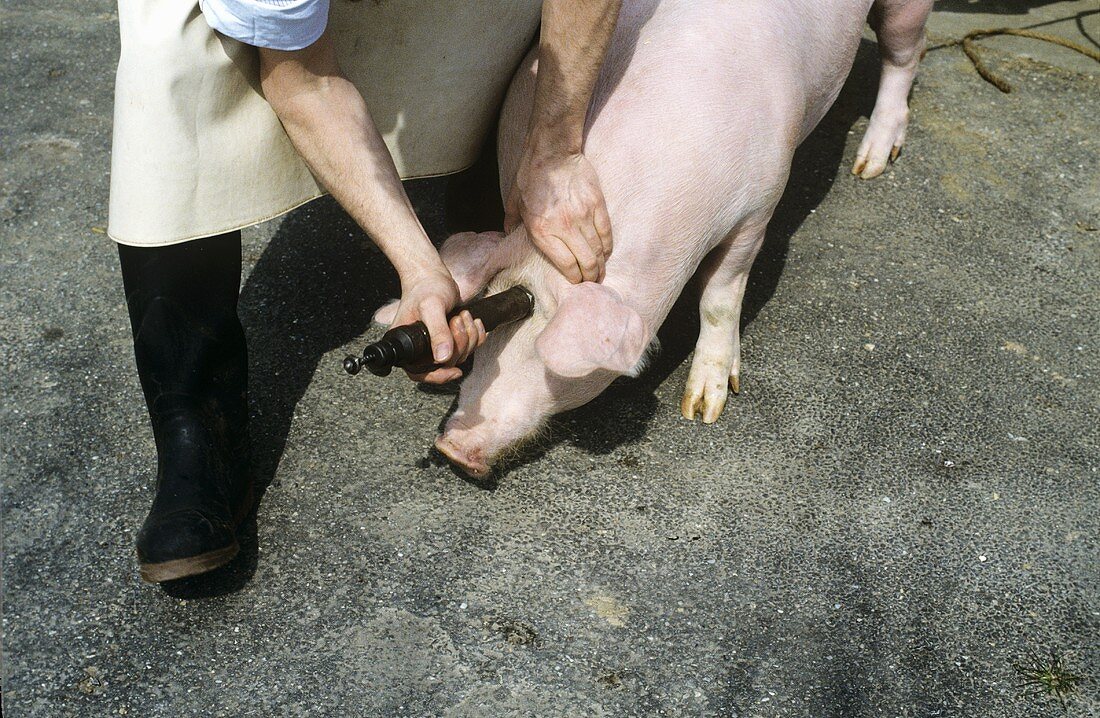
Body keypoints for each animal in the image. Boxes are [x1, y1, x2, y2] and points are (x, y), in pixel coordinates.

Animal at [376, 0, 928, 475]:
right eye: (484, 336)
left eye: (549, 359)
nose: (451, 449)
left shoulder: (761, 203)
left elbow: (720, 298)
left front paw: (702, 411)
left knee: (906, 53)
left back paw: (871, 165)